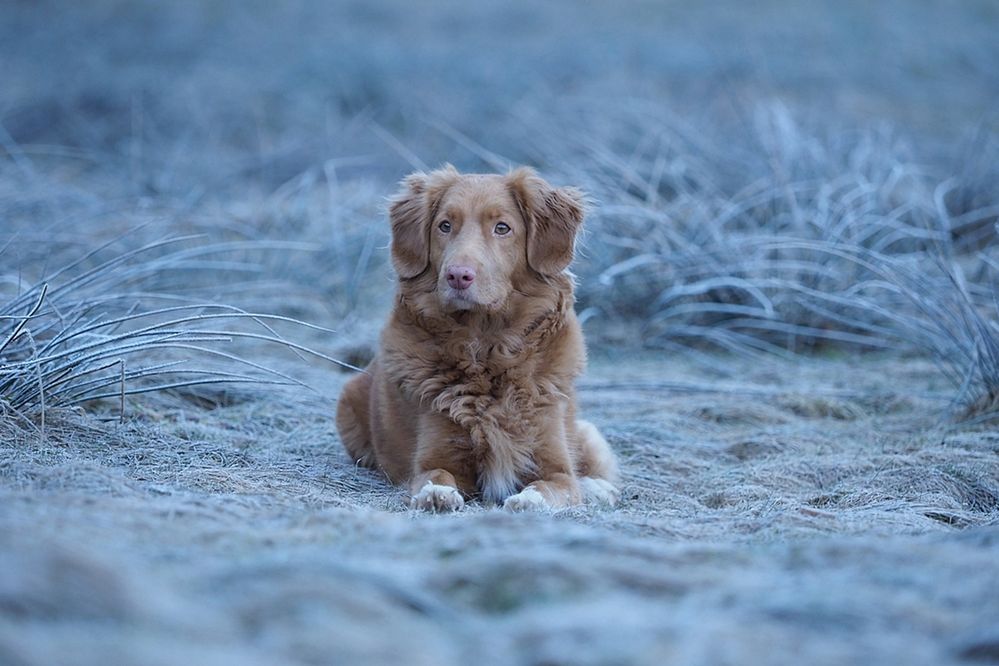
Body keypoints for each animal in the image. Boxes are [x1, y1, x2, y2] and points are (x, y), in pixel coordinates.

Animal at [336, 165, 616, 508]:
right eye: (445, 226)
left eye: (502, 228)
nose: (457, 276)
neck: (486, 347)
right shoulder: (436, 456)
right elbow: (435, 475)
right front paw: (437, 495)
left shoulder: (556, 468)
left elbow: (551, 486)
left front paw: (528, 500)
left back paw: (598, 488)